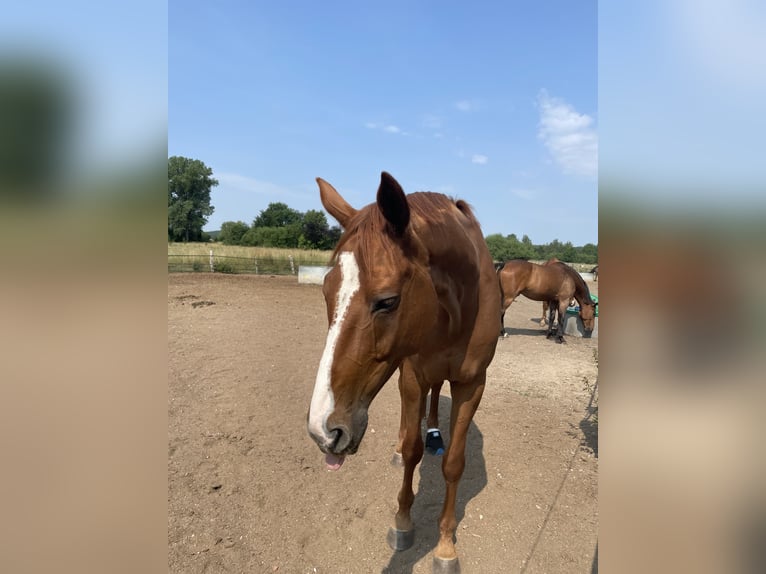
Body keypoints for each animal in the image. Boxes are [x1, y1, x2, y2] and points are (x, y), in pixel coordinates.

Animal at [308, 172, 500, 574]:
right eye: (326, 292)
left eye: (388, 301)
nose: (323, 430)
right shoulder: (412, 375)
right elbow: (412, 451)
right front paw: (402, 522)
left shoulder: (472, 385)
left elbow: (454, 463)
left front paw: (445, 545)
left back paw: (434, 431)